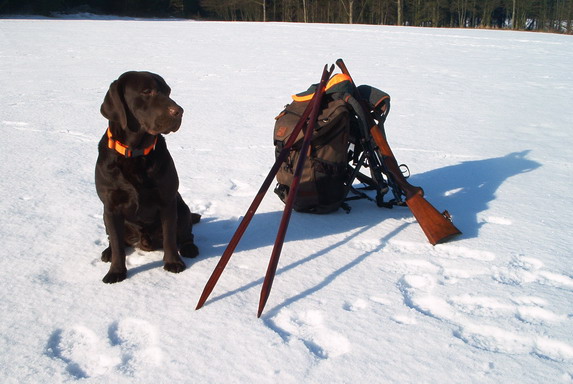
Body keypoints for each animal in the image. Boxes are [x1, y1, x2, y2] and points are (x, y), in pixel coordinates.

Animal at [96, 71, 199, 282]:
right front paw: (115, 272)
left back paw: (189, 248)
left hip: (182, 208)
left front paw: (173, 263)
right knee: (114, 239)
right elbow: (117, 244)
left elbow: (169, 238)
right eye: (146, 91)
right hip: (104, 216)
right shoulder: (110, 207)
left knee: (186, 235)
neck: (135, 153)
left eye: (168, 91)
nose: (179, 111)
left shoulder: (168, 201)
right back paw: (107, 252)